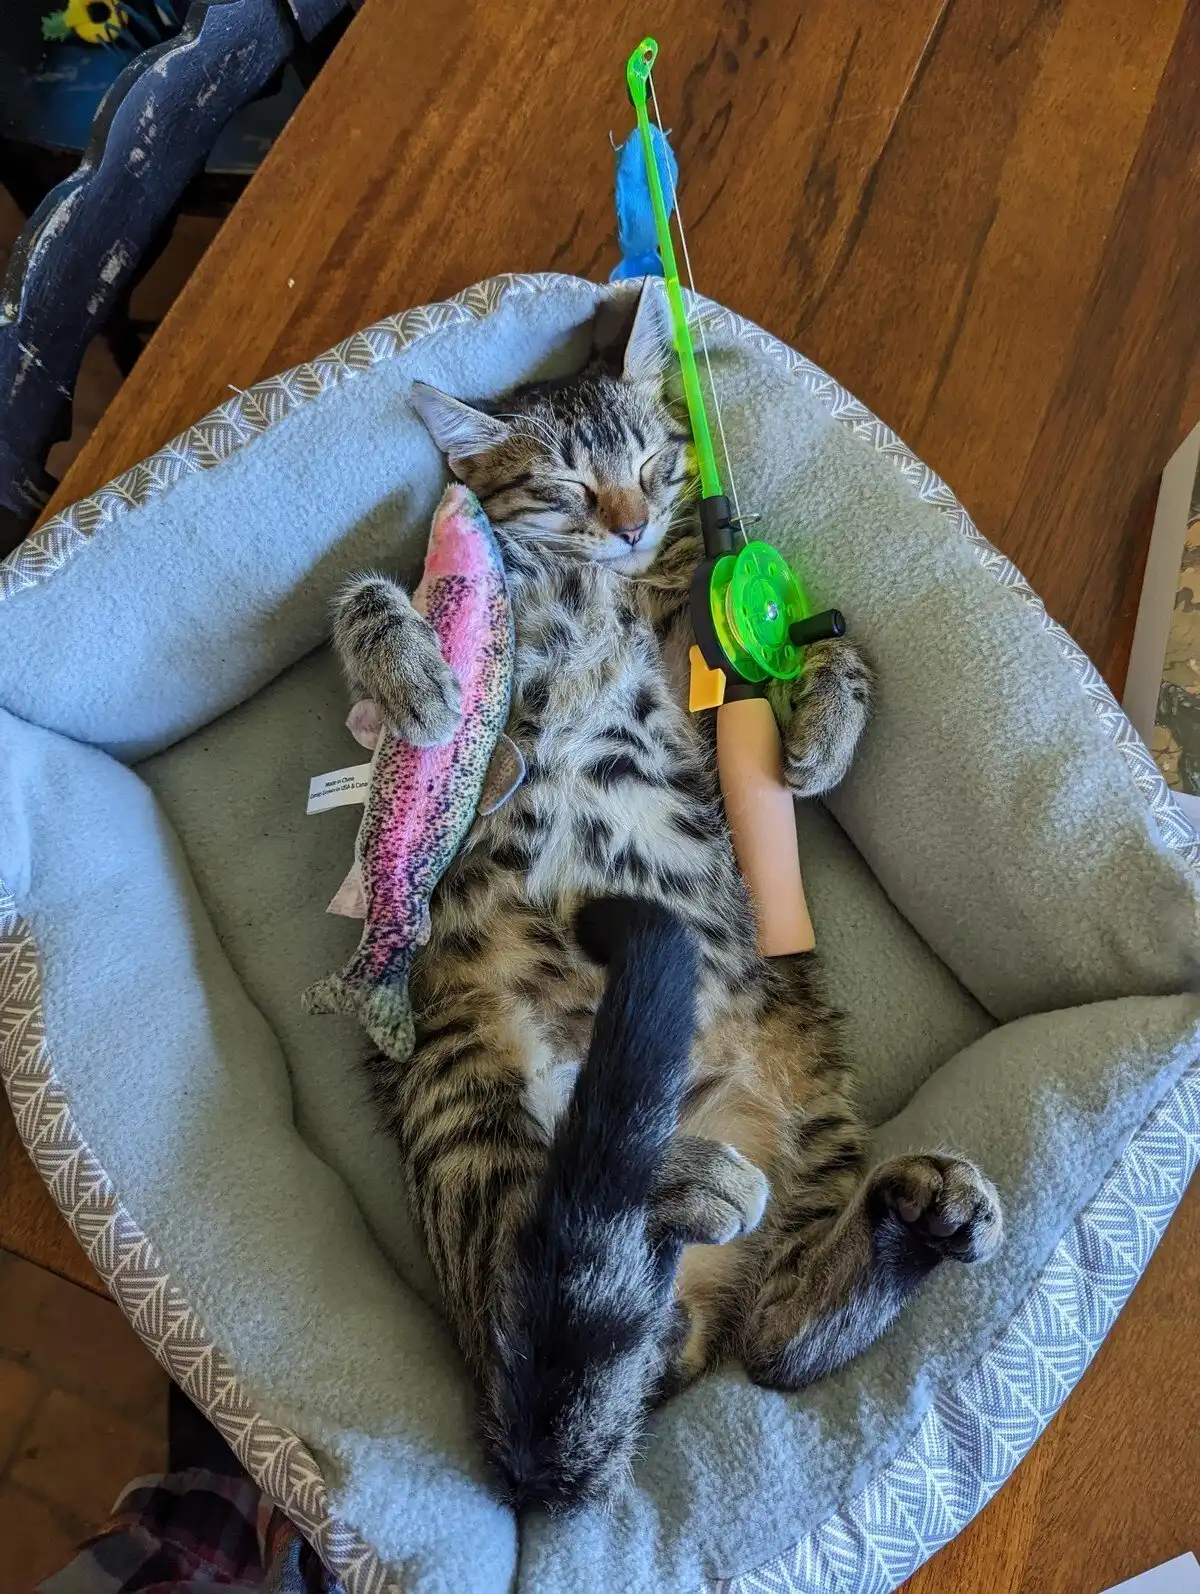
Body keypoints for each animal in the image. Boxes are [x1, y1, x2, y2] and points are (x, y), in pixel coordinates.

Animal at [330, 283, 1003, 1510]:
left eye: (653, 458)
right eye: (560, 484)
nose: (632, 519)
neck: (604, 584)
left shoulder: (702, 663)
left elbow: (815, 660)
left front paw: (824, 728)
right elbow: (368, 595)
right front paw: (416, 673)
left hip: (814, 1110)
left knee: (777, 1338)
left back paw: (904, 1223)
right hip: (472, 1103)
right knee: (550, 1242)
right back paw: (686, 1183)